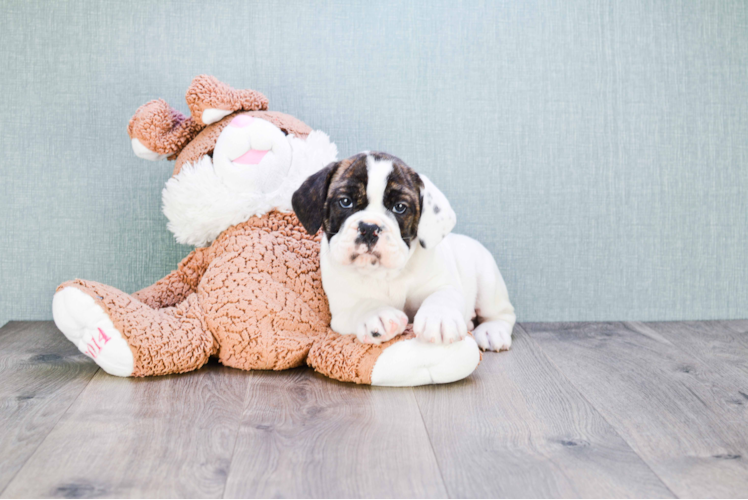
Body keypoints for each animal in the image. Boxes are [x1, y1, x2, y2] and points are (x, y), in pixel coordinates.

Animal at [292, 152, 516, 352]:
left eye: (400, 207)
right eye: (345, 202)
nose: (369, 227)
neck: (386, 274)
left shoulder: (443, 283)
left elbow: (442, 296)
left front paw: (439, 318)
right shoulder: (342, 309)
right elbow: (361, 305)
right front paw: (378, 315)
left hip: (488, 284)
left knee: (503, 314)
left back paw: (491, 332)